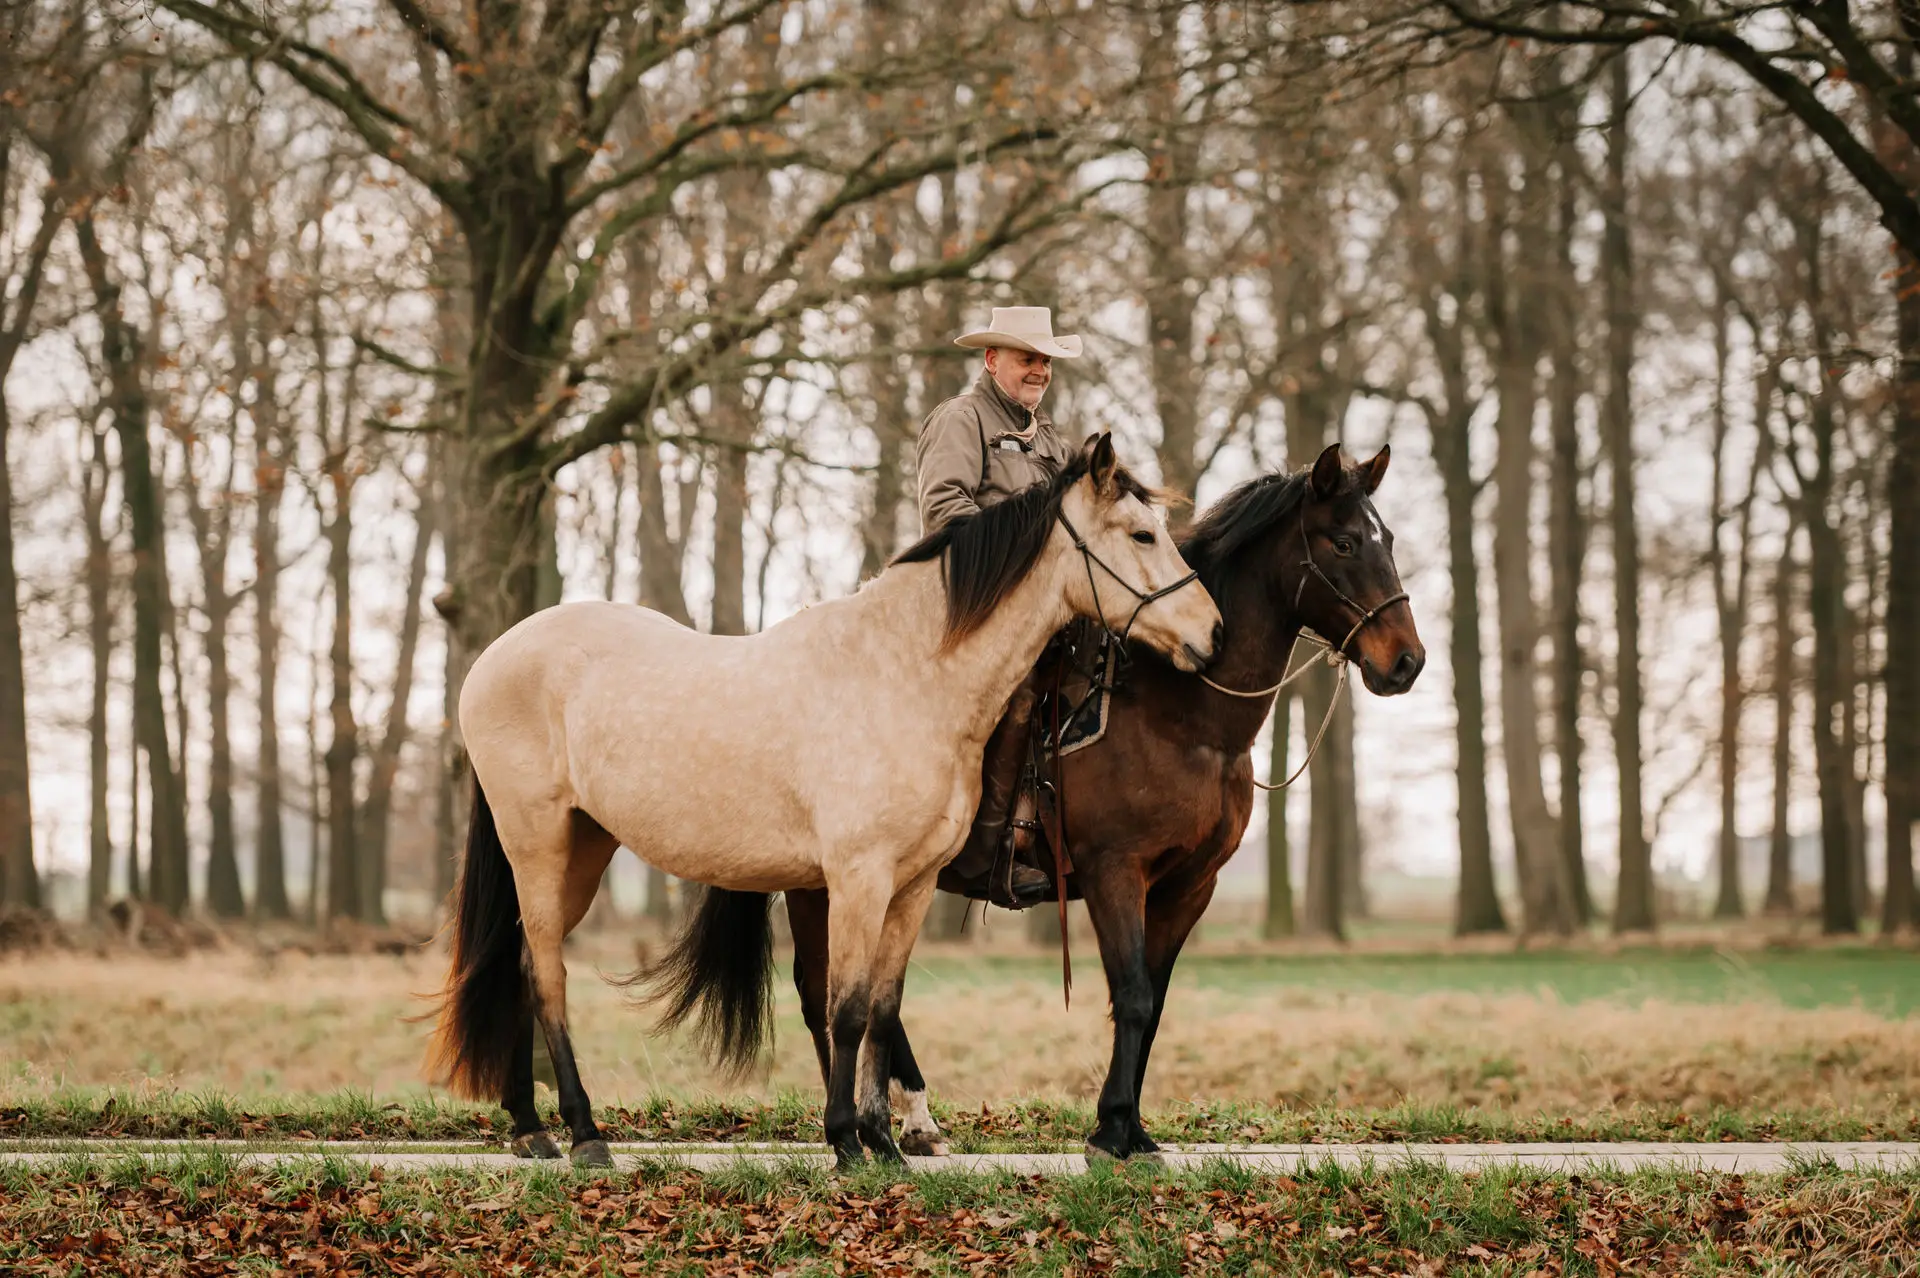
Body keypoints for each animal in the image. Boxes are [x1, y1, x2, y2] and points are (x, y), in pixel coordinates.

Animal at [427, 433, 1223, 1168]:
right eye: (1141, 534)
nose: (1210, 634)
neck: (906, 672)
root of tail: (494, 657)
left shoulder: (913, 885)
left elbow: (882, 1008)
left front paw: (886, 1143)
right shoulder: (858, 879)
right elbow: (846, 1010)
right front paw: (845, 1141)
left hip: (585, 849)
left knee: (520, 968)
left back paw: (531, 1130)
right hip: (539, 844)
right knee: (546, 975)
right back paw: (585, 1135)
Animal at [776, 442, 1426, 1160]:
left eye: (1388, 541)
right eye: (1343, 542)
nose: (1407, 662)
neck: (1181, 715)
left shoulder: (1187, 886)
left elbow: (1154, 1001)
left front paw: (1132, 1128)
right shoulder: (1115, 869)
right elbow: (1134, 993)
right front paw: (1112, 1128)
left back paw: (905, 1122)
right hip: (824, 885)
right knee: (824, 992)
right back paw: (864, 1128)